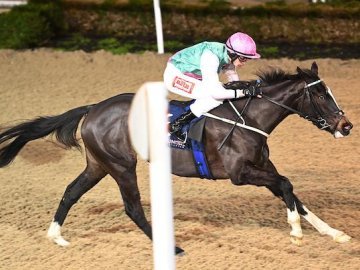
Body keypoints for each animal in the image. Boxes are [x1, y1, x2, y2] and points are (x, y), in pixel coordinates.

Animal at [0, 61, 354, 255]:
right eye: (320, 94)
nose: (346, 126)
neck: (251, 117)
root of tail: (93, 108)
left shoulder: (262, 166)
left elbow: (291, 192)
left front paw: (333, 233)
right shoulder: (241, 174)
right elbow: (287, 184)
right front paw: (295, 230)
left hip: (99, 164)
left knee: (71, 191)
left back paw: (56, 235)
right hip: (121, 164)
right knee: (132, 207)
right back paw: (172, 247)